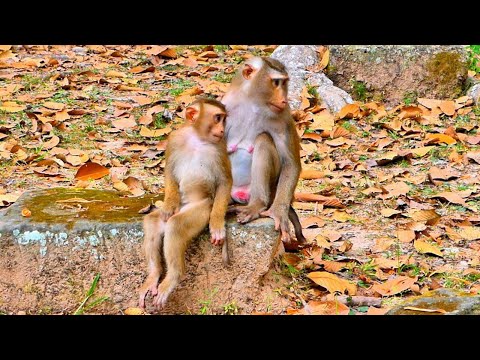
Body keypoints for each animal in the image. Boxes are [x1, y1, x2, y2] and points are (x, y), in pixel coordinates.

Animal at [139, 98, 232, 310]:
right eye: (218, 118)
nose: (223, 129)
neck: (197, 138)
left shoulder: (220, 147)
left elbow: (225, 182)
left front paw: (217, 225)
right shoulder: (174, 139)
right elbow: (170, 173)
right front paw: (167, 205)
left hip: (202, 208)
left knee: (175, 225)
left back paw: (172, 277)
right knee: (154, 222)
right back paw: (154, 274)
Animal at [223, 56, 306, 243]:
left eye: (284, 83)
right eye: (276, 82)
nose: (284, 99)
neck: (253, 104)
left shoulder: (283, 116)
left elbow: (290, 163)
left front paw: (278, 213)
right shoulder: (224, 106)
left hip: (267, 189)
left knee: (263, 139)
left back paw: (256, 205)